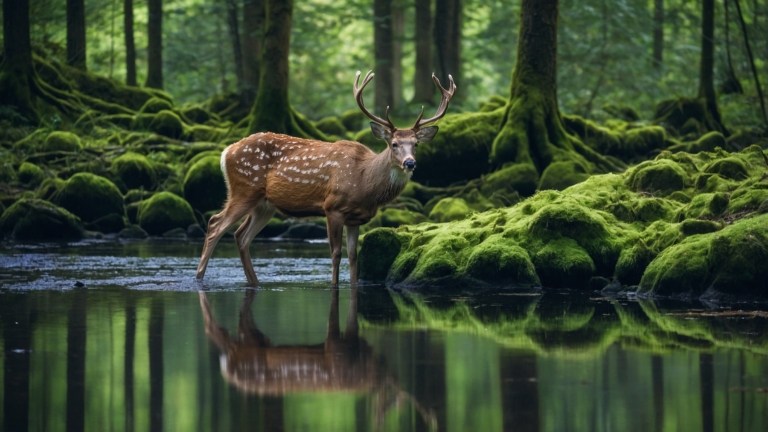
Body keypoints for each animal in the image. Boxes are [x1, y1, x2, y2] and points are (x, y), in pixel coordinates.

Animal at [195, 70, 456, 286]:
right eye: (394, 144)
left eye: (416, 144)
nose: (410, 163)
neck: (365, 182)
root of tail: (226, 152)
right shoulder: (333, 207)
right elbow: (335, 253)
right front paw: (333, 286)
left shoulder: (356, 218)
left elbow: (353, 255)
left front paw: (353, 285)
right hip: (244, 188)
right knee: (215, 224)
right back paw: (199, 279)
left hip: (264, 204)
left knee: (241, 236)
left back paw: (254, 283)